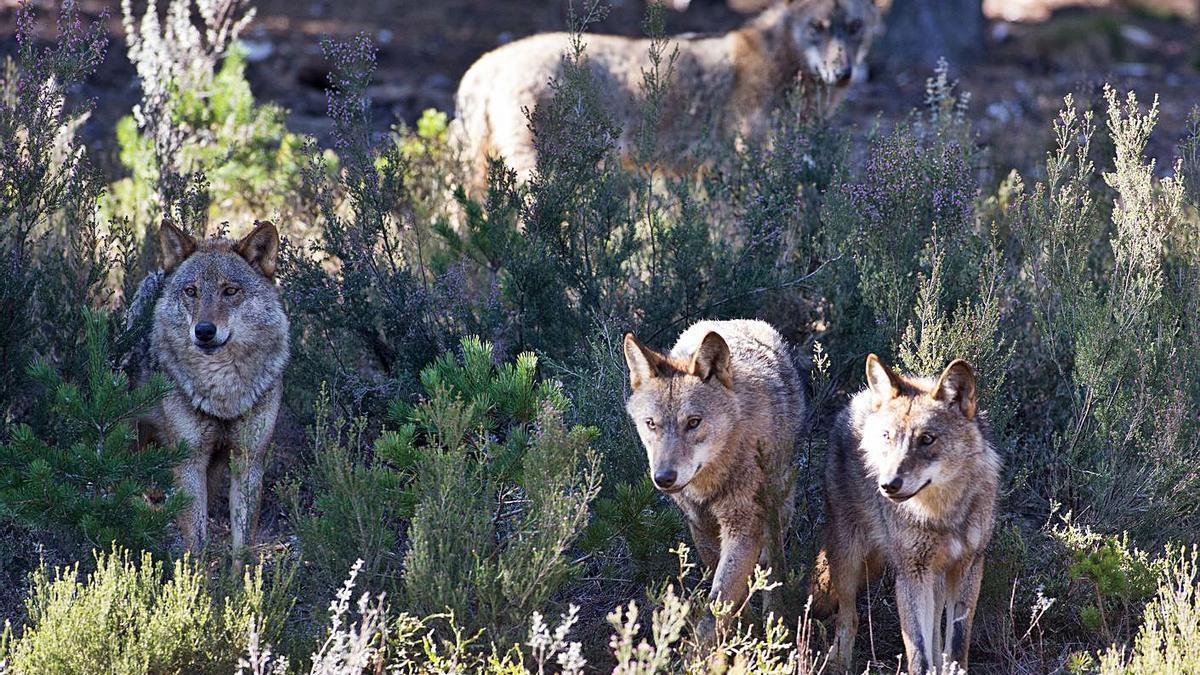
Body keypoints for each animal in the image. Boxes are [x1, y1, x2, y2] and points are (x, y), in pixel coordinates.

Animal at [126, 219, 288, 562]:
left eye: (230, 291)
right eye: (192, 292)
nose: (203, 331)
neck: (223, 394)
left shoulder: (248, 461)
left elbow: (243, 546)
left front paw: (243, 580)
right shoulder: (189, 462)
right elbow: (196, 544)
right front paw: (192, 579)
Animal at [628, 317, 806, 624]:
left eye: (693, 422)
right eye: (651, 424)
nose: (664, 478)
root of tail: (734, 321)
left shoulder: (743, 525)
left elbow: (718, 606)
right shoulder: (699, 524)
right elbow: (723, 591)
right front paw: (742, 626)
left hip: (778, 508)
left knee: (772, 565)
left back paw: (775, 614)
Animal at [811, 355, 998, 667]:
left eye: (927, 439)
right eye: (887, 437)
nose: (888, 485)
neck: (940, 514)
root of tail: (858, 398)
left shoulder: (968, 567)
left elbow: (955, 646)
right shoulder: (910, 574)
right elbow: (918, 653)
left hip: (934, 577)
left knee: (935, 634)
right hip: (848, 559)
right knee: (849, 619)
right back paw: (839, 664)